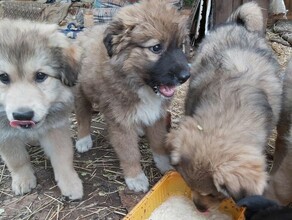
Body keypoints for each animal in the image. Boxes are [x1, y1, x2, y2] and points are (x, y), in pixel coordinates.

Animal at [0, 19, 83, 200]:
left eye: (40, 76)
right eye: (3, 77)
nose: (22, 115)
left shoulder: (56, 127)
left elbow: (63, 157)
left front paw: (70, 182)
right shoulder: (4, 134)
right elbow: (16, 159)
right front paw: (22, 179)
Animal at [74, 0, 190, 192]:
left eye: (180, 45)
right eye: (156, 48)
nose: (186, 76)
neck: (138, 84)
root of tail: (84, 32)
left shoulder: (157, 115)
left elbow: (158, 142)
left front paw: (165, 165)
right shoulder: (121, 123)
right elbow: (129, 153)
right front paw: (135, 177)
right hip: (81, 93)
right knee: (82, 116)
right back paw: (83, 139)